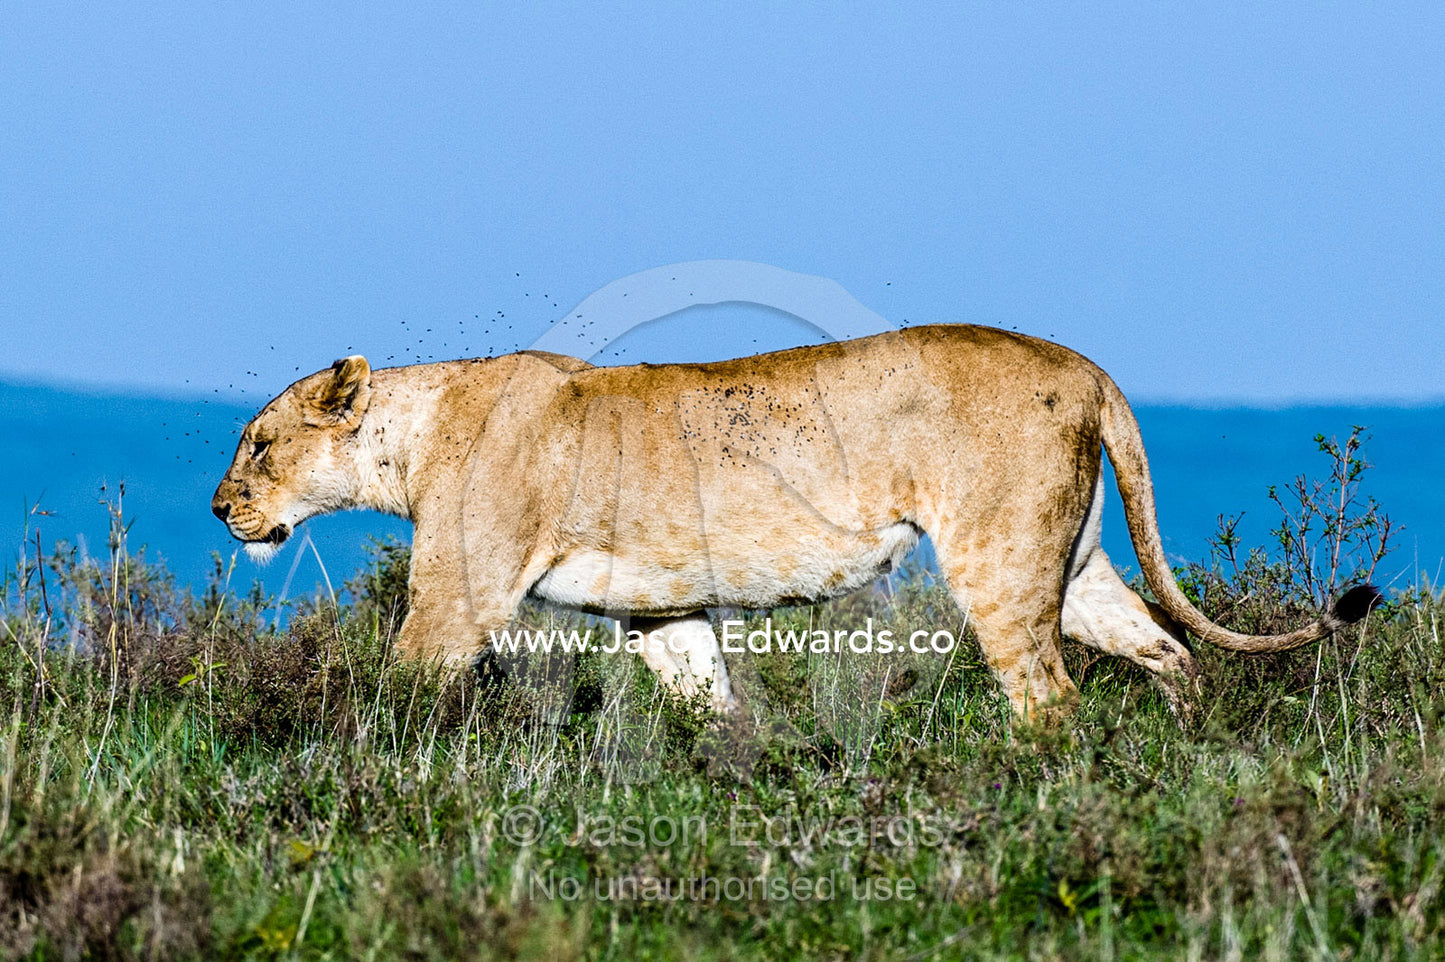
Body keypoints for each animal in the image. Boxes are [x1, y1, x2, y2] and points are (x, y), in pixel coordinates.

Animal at [212, 325, 1380, 721]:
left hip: (995, 555)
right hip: (1078, 558)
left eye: (259, 444)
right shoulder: (662, 612)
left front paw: (356, 778)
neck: (408, 437)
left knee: (1048, 700)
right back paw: (1182, 759)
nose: (222, 507)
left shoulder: (453, 598)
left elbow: (393, 699)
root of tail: (1083, 365)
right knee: (1168, 653)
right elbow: (706, 700)